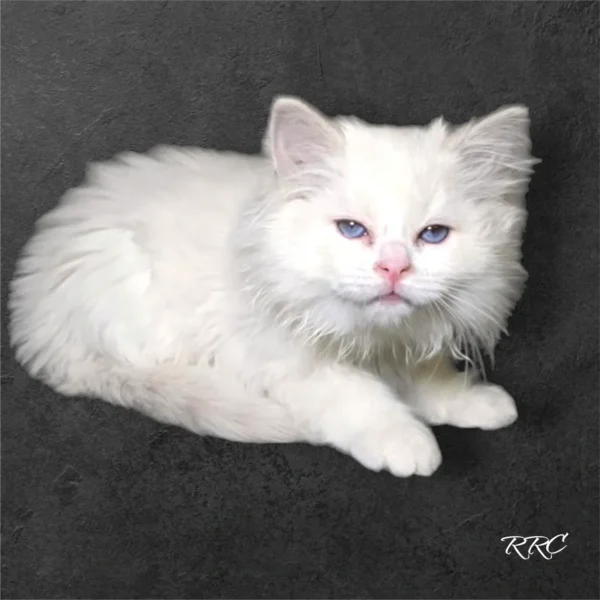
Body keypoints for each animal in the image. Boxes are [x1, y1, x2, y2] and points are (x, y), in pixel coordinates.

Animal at [7, 96, 536, 476]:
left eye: (433, 235)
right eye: (351, 230)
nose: (392, 269)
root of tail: (32, 321)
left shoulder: (405, 341)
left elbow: (427, 375)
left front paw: (472, 401)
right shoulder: (284, 358)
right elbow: (357, 395)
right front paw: (405, 440)